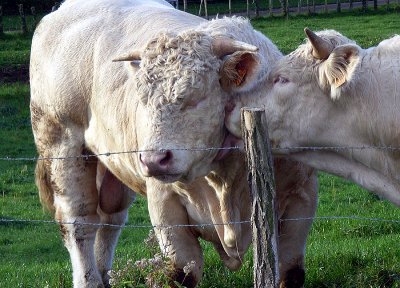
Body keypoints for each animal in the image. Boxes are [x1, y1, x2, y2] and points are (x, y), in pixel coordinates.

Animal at [30, 1, 318, 286]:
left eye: (197, 97)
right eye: (142, 100)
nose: (154, 160)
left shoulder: (300, 199)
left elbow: (290, 271)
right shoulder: (166, 207)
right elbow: (182, 273)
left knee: (111, 218)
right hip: (63, 146)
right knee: (80, 225)